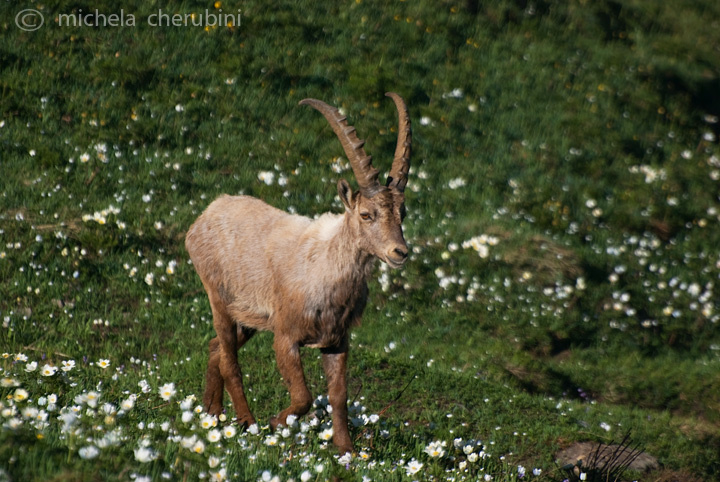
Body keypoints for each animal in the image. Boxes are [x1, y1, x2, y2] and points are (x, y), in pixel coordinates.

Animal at [184, 92, 410, 454]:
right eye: (366, 214)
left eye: (403, 212)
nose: (399, 253)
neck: (327, 269)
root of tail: (204, 216)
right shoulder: (286, 334)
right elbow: (303, 395)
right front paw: (277, 422)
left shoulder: (337, 339)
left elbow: (339, 395)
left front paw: (346, 450)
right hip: (219, 297)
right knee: (230, 361)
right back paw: (246, 421)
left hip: (249, 317)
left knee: (215, 348)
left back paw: (213, 412)